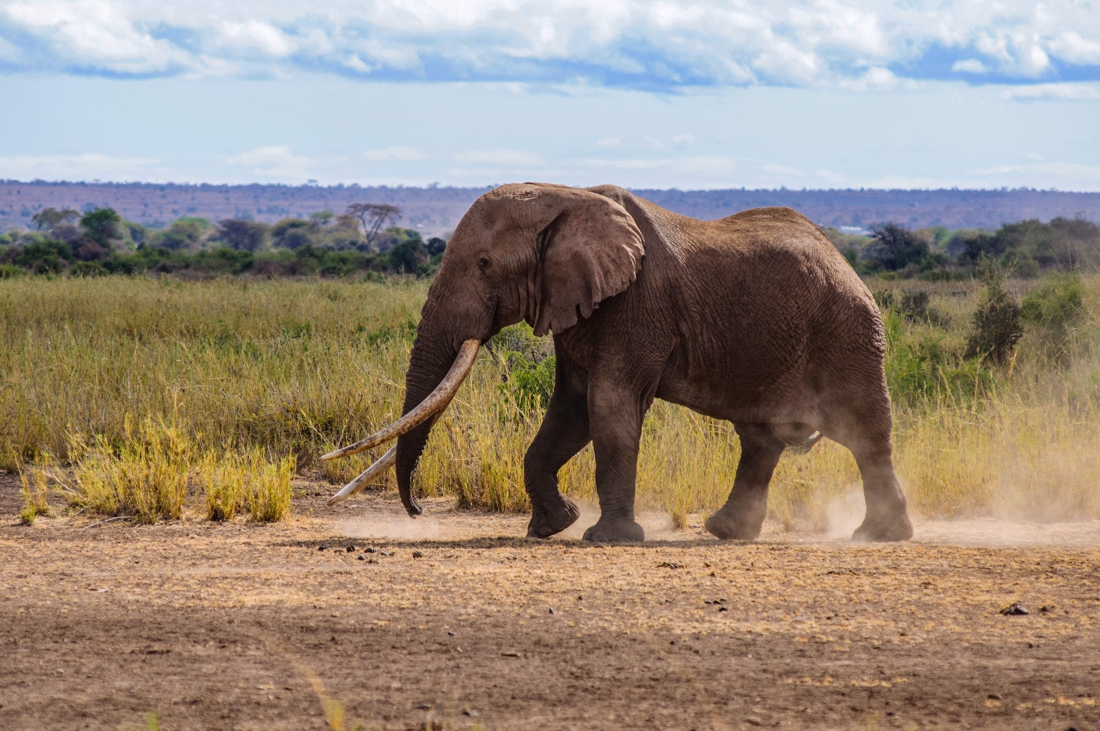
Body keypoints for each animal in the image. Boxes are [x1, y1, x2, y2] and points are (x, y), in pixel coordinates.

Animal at [321, 182, 915, 540]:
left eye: (485, 263)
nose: (418, 511)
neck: (563, 196)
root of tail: (846, 262)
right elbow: (571, 412)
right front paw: (552, 527)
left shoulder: (636, 305)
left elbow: (609, 407)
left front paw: (605, 539)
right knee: (761, 439)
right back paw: (726, 532)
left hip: (850, 335)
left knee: (865, 433)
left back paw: (877, 537)